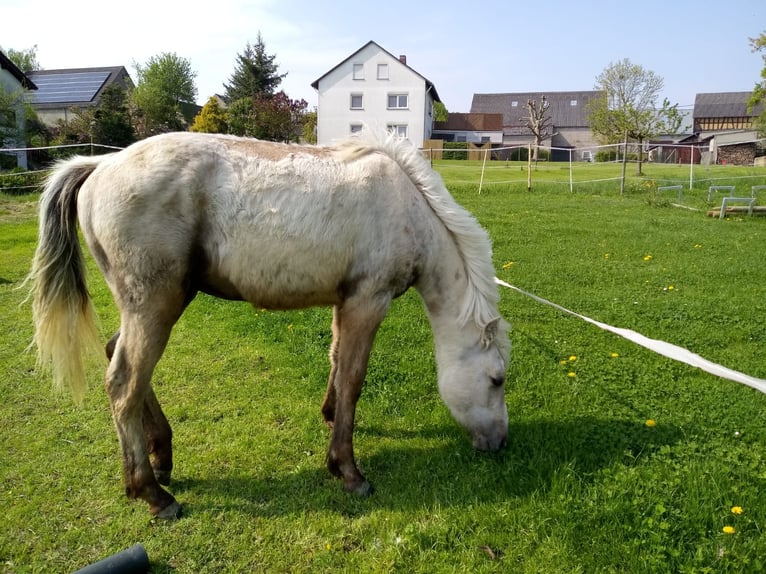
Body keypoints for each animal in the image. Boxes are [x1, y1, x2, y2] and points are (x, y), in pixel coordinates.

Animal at [30, 132, 512, 520]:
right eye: (497, 379)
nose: (501, 443)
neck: (406, 203)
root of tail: (101, 165)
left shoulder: (345, 302)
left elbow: (336, 359)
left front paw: (330, 417)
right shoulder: (368, 301)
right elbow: (353, 378)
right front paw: (347, 469)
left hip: (147, 308)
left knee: (118, 355)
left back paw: (161, 453)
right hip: (155, 306)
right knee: (124, 382)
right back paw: (151, 492)